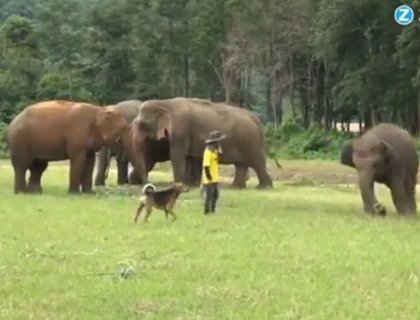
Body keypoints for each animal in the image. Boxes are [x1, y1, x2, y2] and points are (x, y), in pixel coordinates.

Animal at [124, 96, 274, 189]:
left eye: (142, 124)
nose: (147, 184)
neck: (165, 103)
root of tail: (255, 118)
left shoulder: (181, 130)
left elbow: (177, 156)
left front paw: (178, 185)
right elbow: (188, 157)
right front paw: (189, 185)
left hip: (251, 142)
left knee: (258, 163)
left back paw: (263, 187)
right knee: (241, 165)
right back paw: (236, 187)